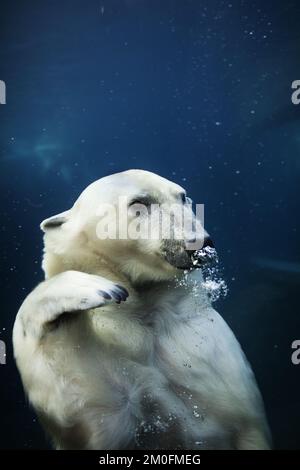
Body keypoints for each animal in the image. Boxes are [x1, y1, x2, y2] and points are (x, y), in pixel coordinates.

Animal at [12, 171, 270, 450]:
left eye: (182, 196)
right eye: (140, 203)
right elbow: (88, 407)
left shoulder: (206, 354)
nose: (199, 243)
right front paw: (98, 288)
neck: (145, 313)